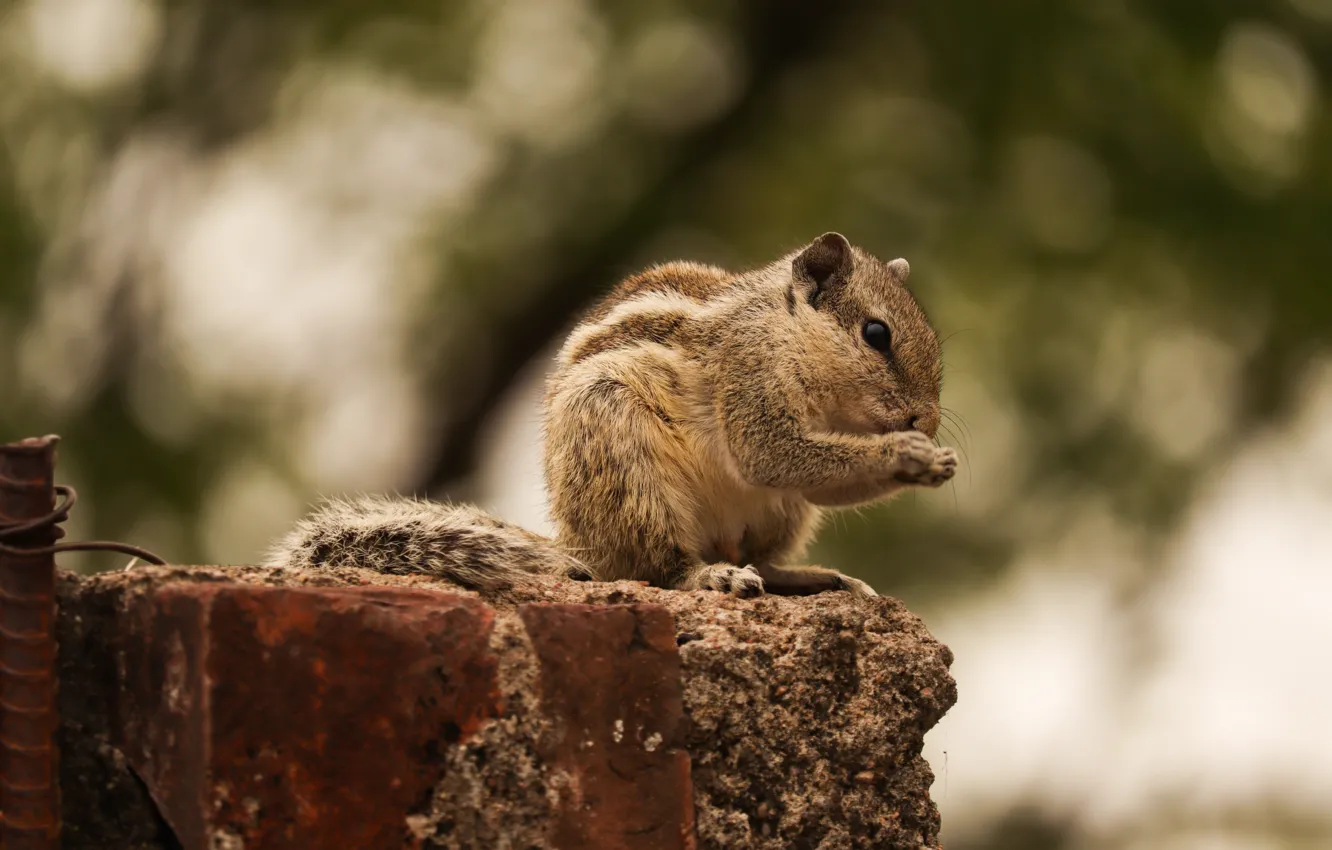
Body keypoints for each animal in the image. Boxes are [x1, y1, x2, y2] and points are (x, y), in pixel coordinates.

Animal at [264, 232, 956, 598]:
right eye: (876, 334)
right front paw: (906, 457)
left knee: (761, 559)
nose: (924, 422)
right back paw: (710, 577)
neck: (782, 331)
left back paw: (810, 578)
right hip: (622, 454)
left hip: (779, 516)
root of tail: (581, 541)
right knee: (662, 570)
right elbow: (774, 455)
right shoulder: (747, 379)